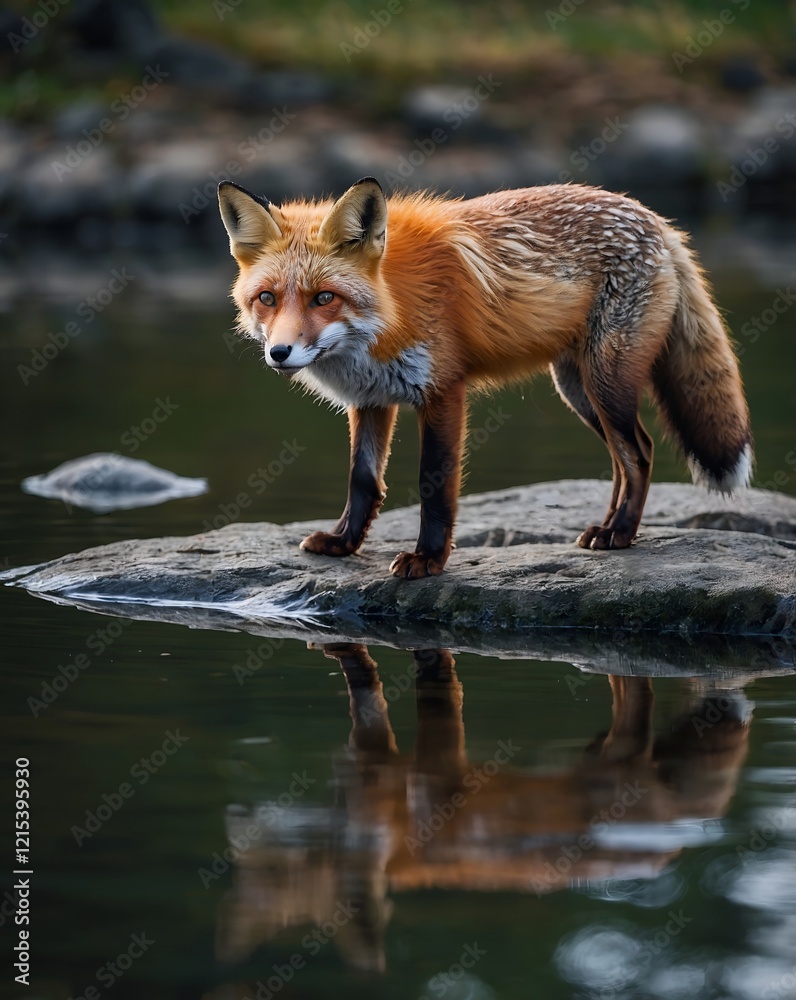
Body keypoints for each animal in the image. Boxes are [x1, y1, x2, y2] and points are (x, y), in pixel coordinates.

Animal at [218, 177, 752, 579]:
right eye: (267, 299)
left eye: (324, 298)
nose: (279, 352)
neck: (389, 309)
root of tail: (655, 218)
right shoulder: (370, 398)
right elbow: (363, 480)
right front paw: (344, 542)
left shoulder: (443, 391)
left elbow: (434, 482)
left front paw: (428, 560)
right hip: (578, 390)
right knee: (628, 456)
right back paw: (609, 528)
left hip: (606, 381)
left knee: (639, 453)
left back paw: (619, 534)